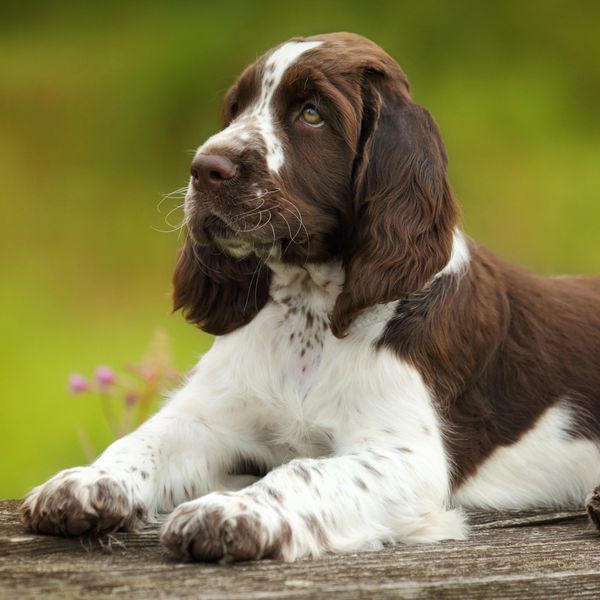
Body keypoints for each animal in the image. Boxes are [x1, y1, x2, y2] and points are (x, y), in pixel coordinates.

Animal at [21, 31, 600, 556]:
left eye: (312, 114)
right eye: (235, 110)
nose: (203, 169)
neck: (310, 314)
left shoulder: (405, 457)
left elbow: (301, 471)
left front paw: (229, 514)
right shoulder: (212, 413)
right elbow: (146, 437)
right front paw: (83, 484)